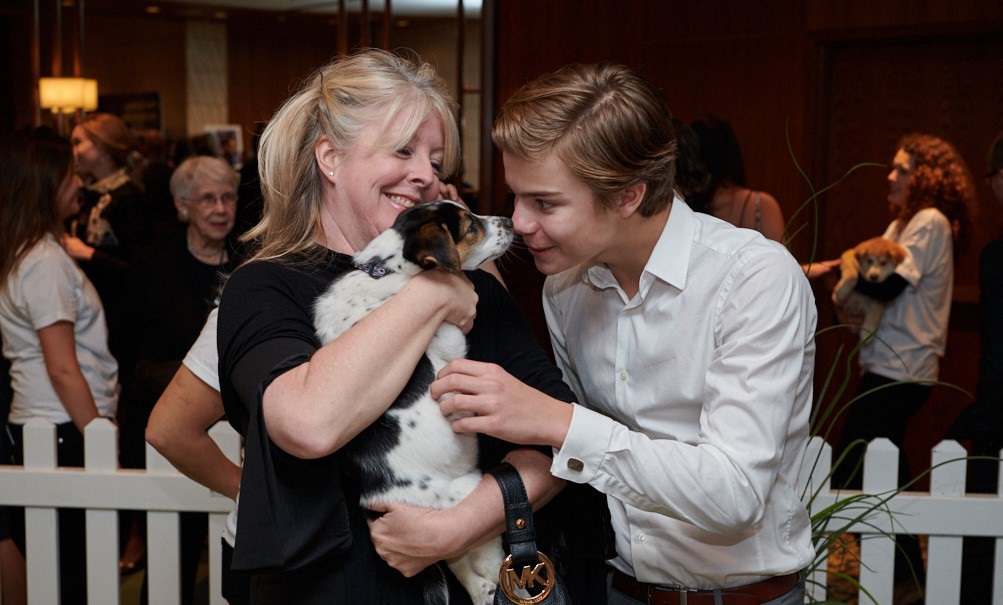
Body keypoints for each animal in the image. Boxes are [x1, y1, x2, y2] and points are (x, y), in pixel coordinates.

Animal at [313, 200, 514, 605]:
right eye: (471, 227)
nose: (511, 221)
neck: (389, 269)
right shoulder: (450, 340)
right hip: (468, 493)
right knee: (479, 553)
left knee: (458, 563)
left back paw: (483, 590)